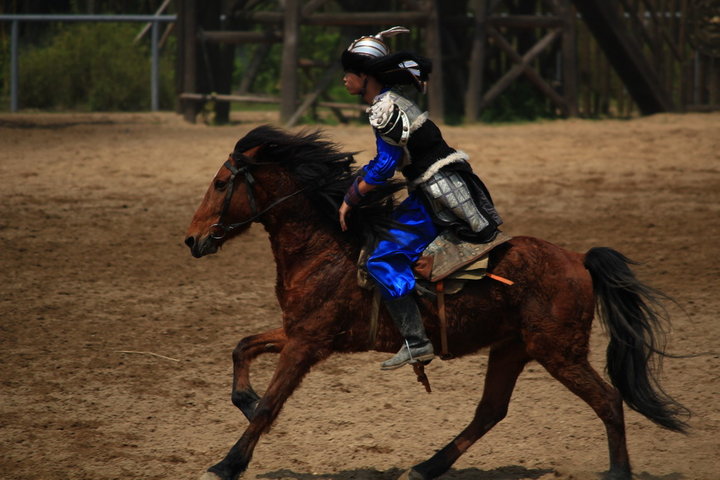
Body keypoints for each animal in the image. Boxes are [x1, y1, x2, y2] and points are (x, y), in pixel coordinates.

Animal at [184, 124, 688, 480]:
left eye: (221, 182)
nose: (191, 239)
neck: (325, 249)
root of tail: (578, 259)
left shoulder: (307, 342)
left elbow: (272, 404)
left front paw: (226, 464)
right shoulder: (297, 331)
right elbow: (242, 347)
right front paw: (244, 400)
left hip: (558, 352)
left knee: (607, 400)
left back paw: (618, 472)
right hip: (513, 349)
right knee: (490, 411)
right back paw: (425, 468)